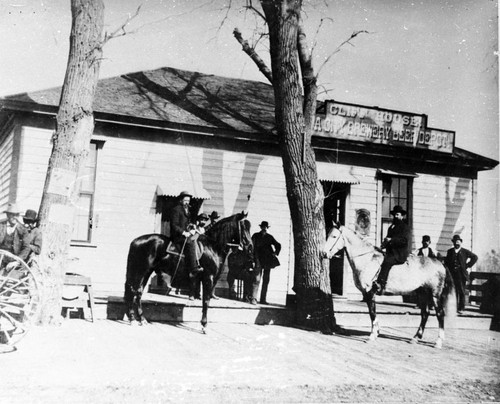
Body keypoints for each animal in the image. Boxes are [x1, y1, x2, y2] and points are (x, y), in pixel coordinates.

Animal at [123, 211, 252, 332]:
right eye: (244, 226)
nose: (250, 247)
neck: (212, 246)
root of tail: (135, 241)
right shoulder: (208, 278)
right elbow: (206, 301)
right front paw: (204, 325)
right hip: (140, 271)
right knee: (133, 291)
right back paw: (133, 319)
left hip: (146, 272)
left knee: (138, 292)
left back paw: (141, 319)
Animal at [322, 226, 456, 348]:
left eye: (334, 236)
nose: (323, 253)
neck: (367, 259)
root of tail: (439, 263)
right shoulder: (367, 294)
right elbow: (372, 313)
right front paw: (376, 332)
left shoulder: (370, 292)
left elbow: (372, 313)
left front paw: (372, 335)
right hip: (422, 293)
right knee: (425, 313)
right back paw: (415, 338)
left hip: (434, 295)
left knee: (440, 314)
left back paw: (438, 342)